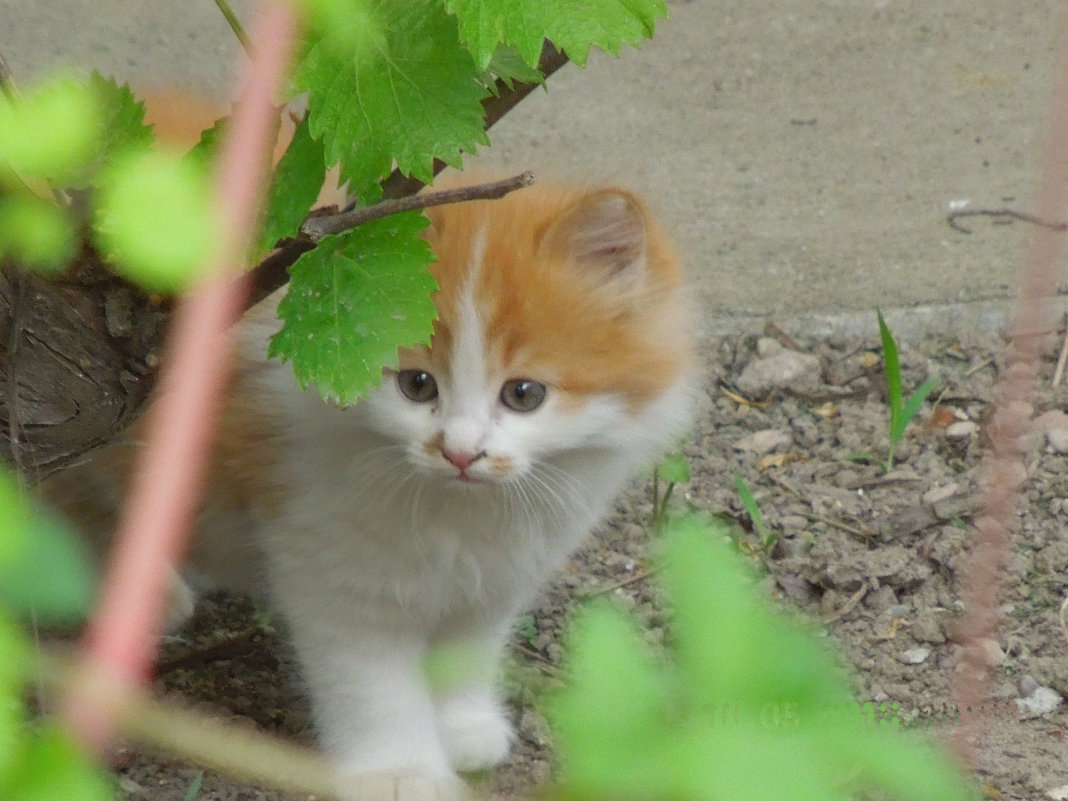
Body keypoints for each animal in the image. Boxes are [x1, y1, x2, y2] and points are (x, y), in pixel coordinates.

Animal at [43, 174, 692, 798]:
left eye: (524, 394)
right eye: (417, 385)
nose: (461, 453)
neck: (458, 513)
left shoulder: (500, 572)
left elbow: (467, 650)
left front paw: (464, 728)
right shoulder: (332, 567)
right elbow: (374, 686)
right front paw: (401, 772)